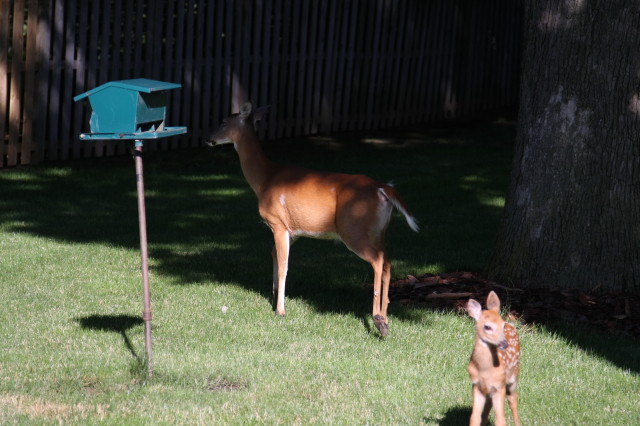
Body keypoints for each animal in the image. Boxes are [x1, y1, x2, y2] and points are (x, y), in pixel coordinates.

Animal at [207, 102, 419, 336]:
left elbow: (284, 265)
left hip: (353, 229)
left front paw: (280, 310)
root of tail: (384, 189)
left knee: (378, 261)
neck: (265, 179)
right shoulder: (294, 229)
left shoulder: (278, 223)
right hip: (378, 232)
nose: (209, 138)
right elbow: (273, 254)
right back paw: (386, 318)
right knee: (388, 261)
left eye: (223, 121)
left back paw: (378, 320)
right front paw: (274, 294)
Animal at [465, 291, 521, 426]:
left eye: (502, 325)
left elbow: (500, 420)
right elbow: (474, 417)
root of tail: (511, 324)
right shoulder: (476, 385)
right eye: (487, 327)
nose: (504, 344)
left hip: (513, 377)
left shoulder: (499, 386)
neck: (485, 370)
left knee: (513, 399)